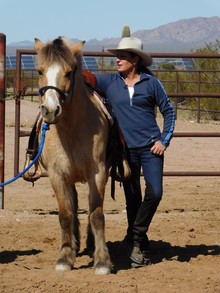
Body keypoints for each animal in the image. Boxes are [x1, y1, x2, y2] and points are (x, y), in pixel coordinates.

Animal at [34, 36, 111, 274]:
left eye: (69, 72)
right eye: (40, 71)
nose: (50, 110)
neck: (72, 130)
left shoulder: (98, 174)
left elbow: (96, 214)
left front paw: (102, 261)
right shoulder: (58, 176)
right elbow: (65, 215)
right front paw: (65, 258)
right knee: (74, 206)